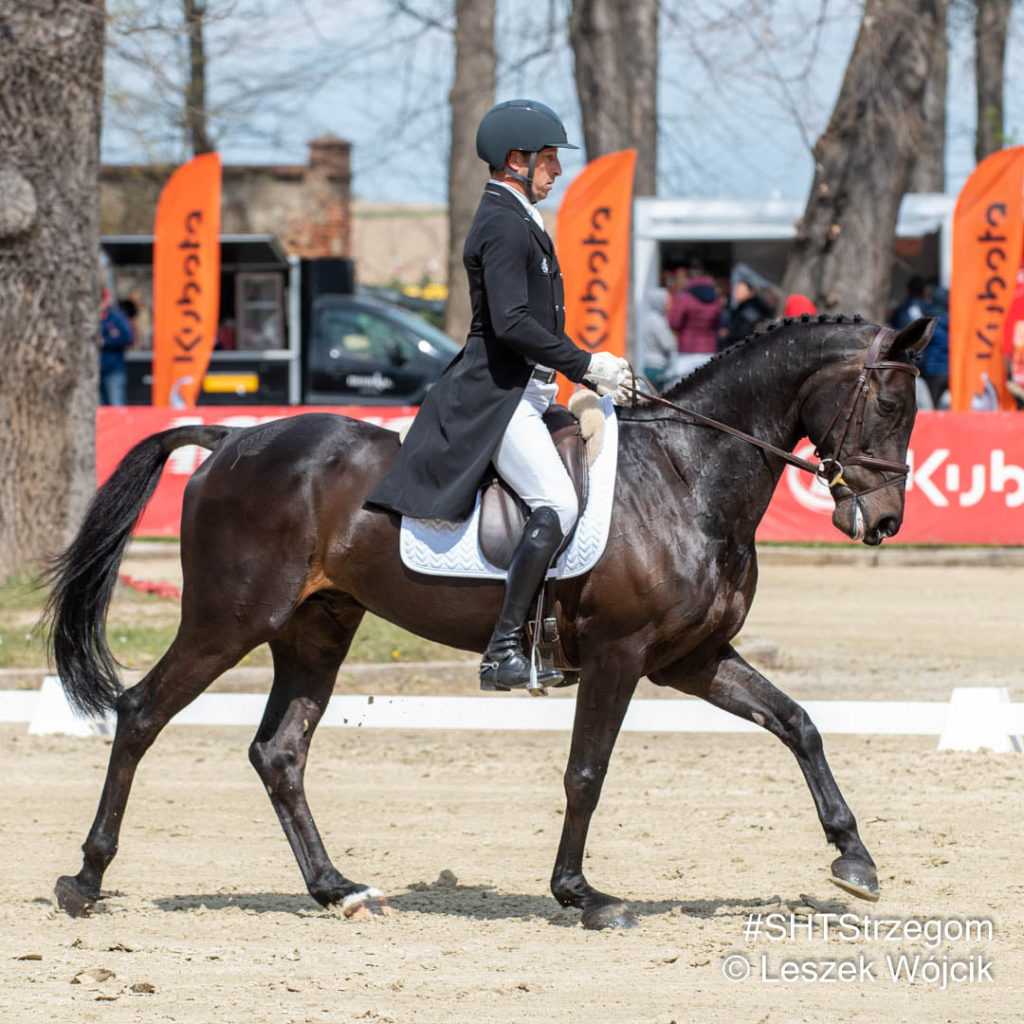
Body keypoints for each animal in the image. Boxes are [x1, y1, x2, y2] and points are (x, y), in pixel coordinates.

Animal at [44, 313, 933, 929]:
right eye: (890, 403)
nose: (886, 521)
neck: (687, 475)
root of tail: (229, 440)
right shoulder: (621, 654)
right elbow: (586, 772)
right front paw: (582, 895)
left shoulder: (694, 656)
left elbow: (798, 723)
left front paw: (854, 860)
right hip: (228, 621)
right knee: (141, 712)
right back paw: (84, 879)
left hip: (317, 627)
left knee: (279, 752)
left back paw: (338, 889)